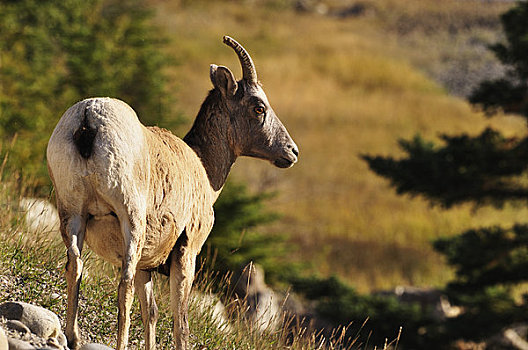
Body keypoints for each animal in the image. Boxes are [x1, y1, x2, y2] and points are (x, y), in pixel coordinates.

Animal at [46, 36, 296, 350]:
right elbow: (181, 322)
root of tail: (88, 118)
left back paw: (73, 337)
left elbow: (151, 312)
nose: (291, 152)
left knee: (75, 268)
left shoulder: (148, 266)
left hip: (72, 216)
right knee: (124, 284)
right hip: (131, 221)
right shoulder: (187, 251)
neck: (202, 168)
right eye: (259, 107)